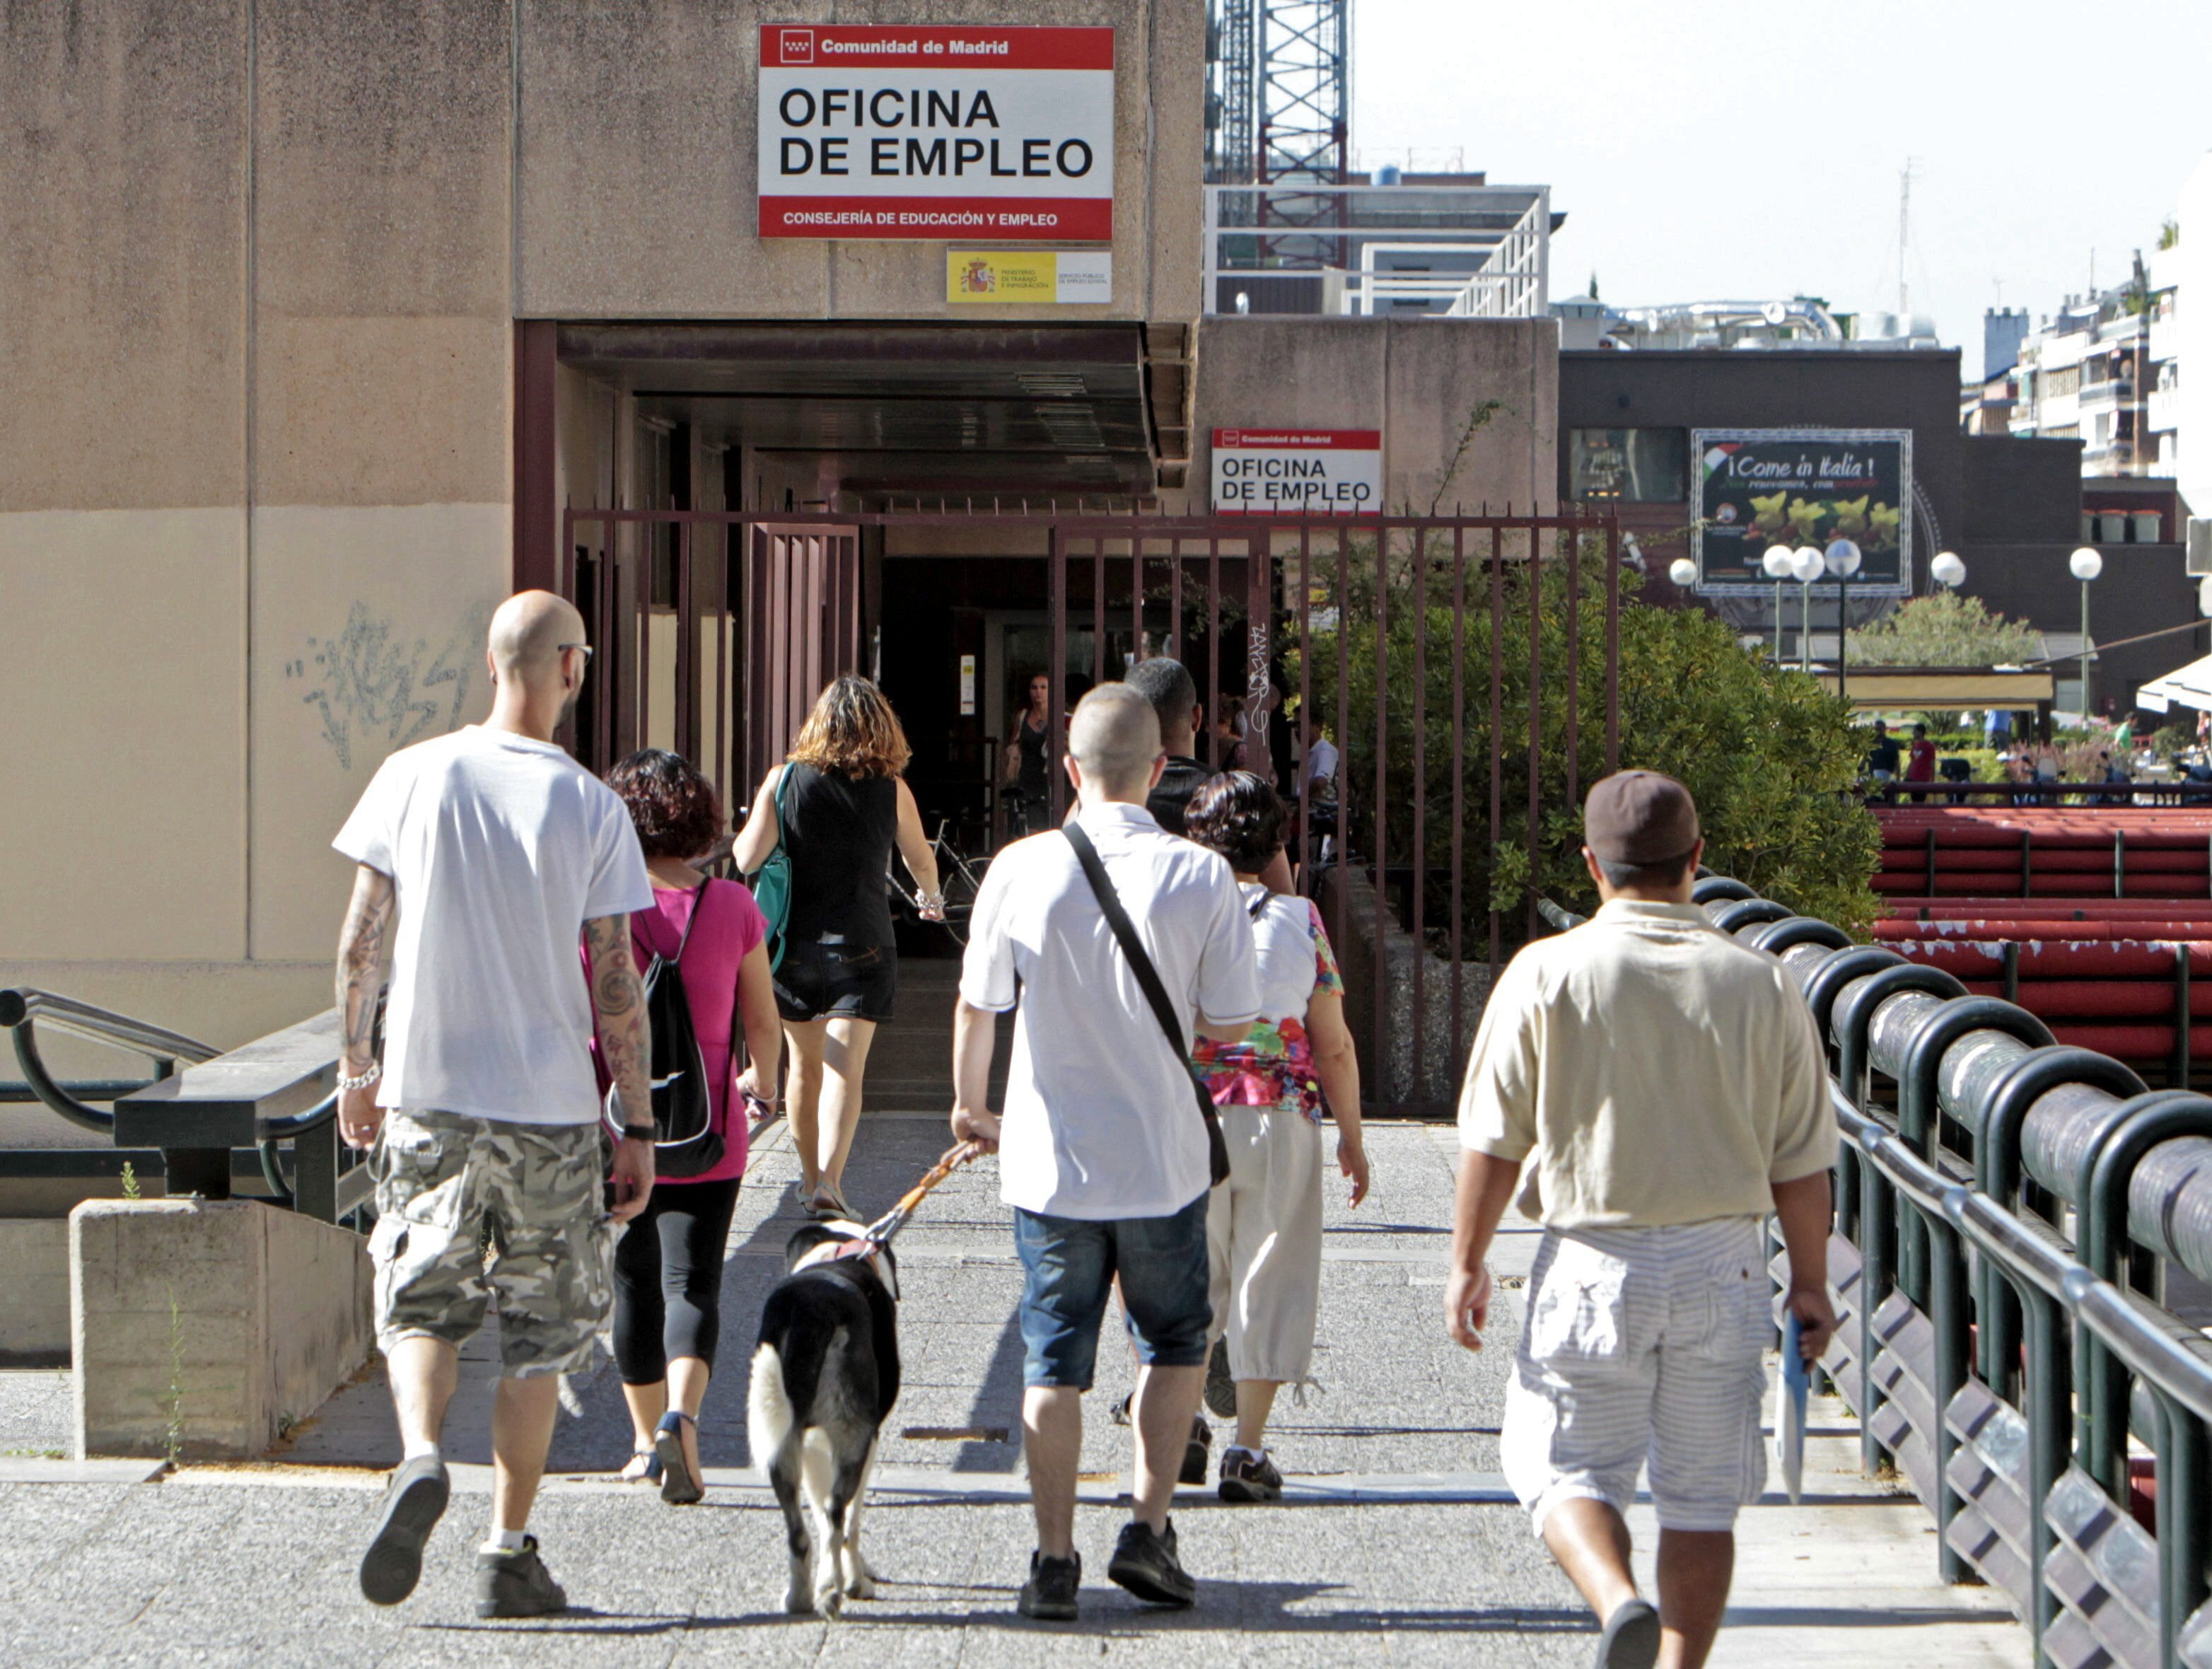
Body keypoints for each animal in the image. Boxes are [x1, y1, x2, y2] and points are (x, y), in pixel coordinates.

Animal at [747, 1213, 902, 1611]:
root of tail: (811, 1311)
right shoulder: (866, 1439)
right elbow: (850, 1521)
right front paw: (852, 1578)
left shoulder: (812, 1444)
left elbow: (818, 1513)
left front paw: (827, 1578)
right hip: (852, 1433)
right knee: (837, 1512)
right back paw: (842, 1590)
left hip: (779, 1439)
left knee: (800, 1531)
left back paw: (800, 1597)